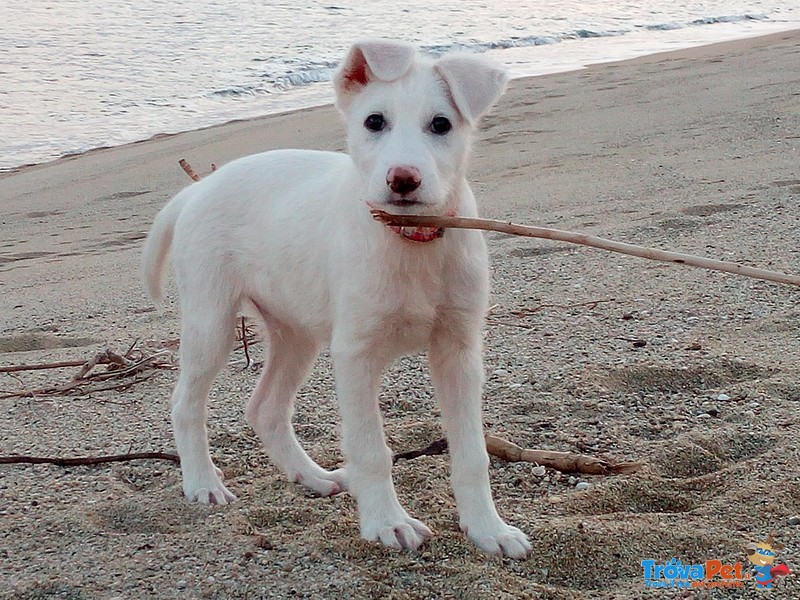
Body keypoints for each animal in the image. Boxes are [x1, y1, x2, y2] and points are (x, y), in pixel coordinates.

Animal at [144, 41, 532, 556]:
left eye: (441, 125)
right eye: (374, 122)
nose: (402, 179)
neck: (409, 240)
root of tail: (198, 189)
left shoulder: (459, 351)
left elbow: (472, 453)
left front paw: (488, 528)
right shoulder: (355, 355)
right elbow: (371, 450)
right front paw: (387, 522)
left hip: (295, 334)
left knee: (265, 408)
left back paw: (312, 476)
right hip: (212, 323)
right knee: (186, 404)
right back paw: (203, 483)